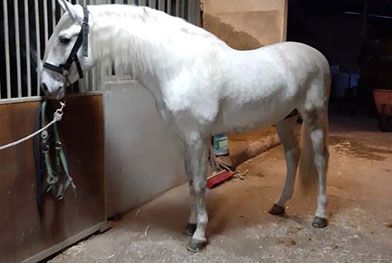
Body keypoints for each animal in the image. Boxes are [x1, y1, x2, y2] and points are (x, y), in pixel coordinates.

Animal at [41, 0, 330, 254]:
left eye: (64, 39)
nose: (46, 87)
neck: (180, 67)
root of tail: (317, 55)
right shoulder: (182, 138)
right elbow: (190, 180)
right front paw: (191, 224)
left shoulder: (196, 137)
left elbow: (200, 184)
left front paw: (199, 237)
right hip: (285, 119)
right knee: (293, 156)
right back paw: (279, 205)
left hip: (314, 117)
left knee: (320, 160)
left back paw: (320, 216)